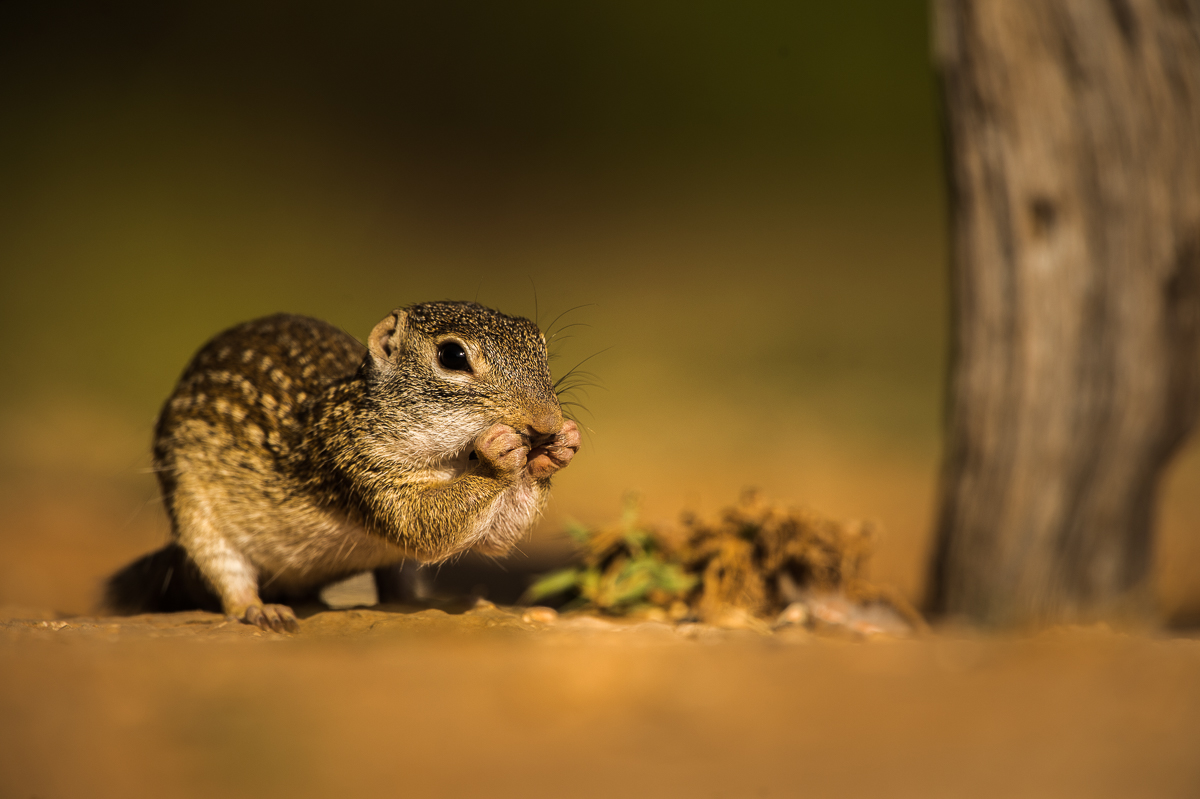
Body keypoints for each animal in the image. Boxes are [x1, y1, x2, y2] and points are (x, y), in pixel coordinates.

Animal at [104, 302, 581, 631]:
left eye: (539, 345)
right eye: (452, 356)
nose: (547, 422)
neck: (450, 461)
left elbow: (497, 539)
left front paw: (559, 448)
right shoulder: (355, 462)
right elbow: (422, 526)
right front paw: (499, 455)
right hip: (195, 517)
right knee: (229, 579)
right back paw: (261, 610)